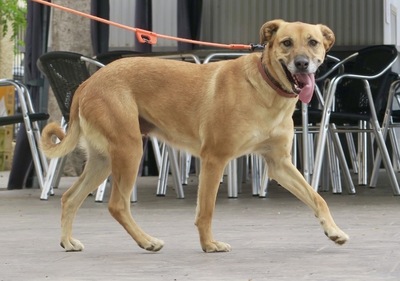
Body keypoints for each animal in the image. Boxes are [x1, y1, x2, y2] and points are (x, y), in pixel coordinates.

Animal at [39, 19, 348, 252]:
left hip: (103, 160)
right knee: (117, 205)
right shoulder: (214, 159)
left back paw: (68, 242)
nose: (302, 64)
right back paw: (147, 241)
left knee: (70, 198)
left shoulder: (279, 164)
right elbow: (206, 210)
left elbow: (316, 198)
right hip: (129, 151)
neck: (266, 87)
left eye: (313, 42)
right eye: (286, 43)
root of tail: (88, 83)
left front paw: (333, 231)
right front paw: (209, 244)